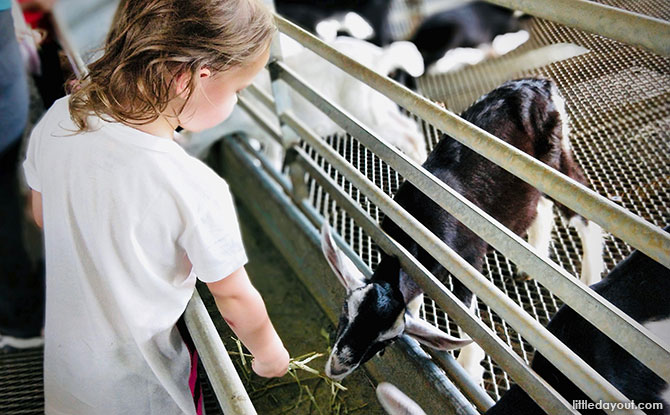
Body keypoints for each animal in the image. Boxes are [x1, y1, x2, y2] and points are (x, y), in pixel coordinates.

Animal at [320, 78, 604, 384]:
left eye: (388, 339)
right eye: (345, 309)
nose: (337, 368)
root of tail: (539, 84)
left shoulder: (468, 258)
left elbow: (467, 313)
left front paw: (468, 367)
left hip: (554, 160)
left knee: (582, 208)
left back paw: (590, 280)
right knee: (540, 206)